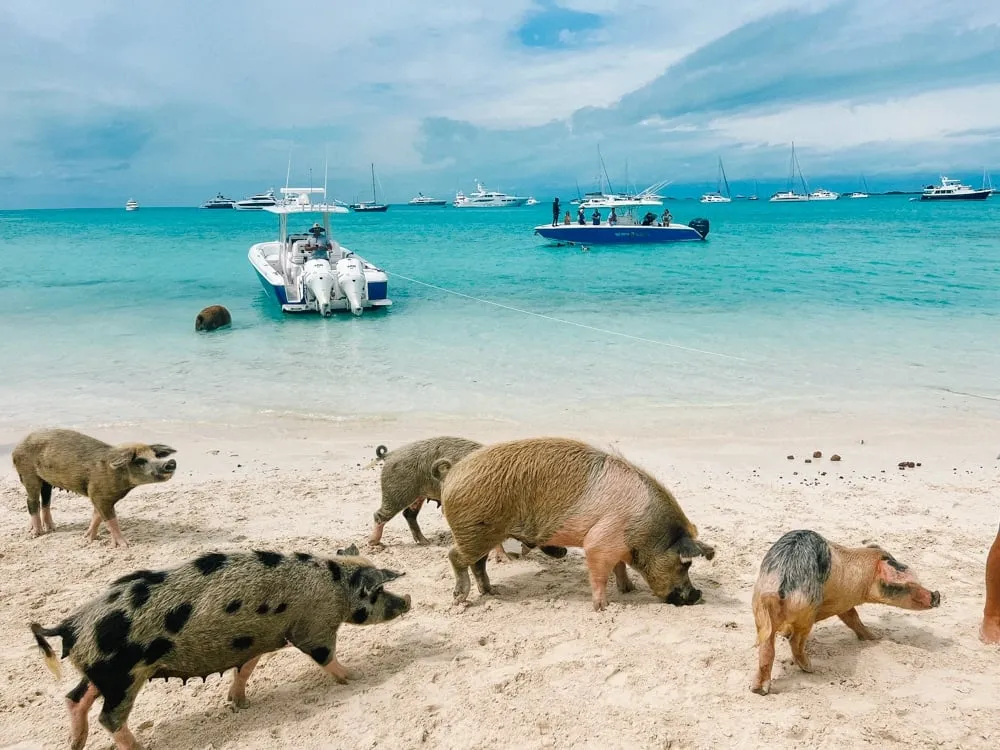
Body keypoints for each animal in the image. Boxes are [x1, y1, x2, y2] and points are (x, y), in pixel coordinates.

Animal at [12, 429, 177, 548]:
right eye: (140, 461)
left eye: (155, 456)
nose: (171, 462)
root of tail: (17, 446)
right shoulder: (98, 494)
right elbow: (110, 520)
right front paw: (126, 545)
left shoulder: (98, 496)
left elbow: (97, 516)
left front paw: (88, 538)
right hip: (28, 474)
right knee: (31, 501)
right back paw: (37, 533)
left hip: (46, 482)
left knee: (45, 501)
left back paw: (51, 528)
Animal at [30, 549, 411, 750]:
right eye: (378, 591)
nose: (408, 600)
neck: (335, 587)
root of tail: (71, 625)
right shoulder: (313, 629)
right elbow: (324, 655)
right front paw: (356, 676)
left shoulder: (258, 639)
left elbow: (247, 667)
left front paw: (239, 704)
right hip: (125, 674)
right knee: (108, 717)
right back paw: (139, 747)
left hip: (104, 673)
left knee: (75, 697)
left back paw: (75, 743)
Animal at [438, 437, 715, 611]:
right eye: (684, 564)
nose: (697, 595)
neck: (645, 532)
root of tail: (452, 476)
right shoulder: (600, 541)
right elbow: (600, 572)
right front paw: (603, 608)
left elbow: (619, 567)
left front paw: (629, 589)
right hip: (475, 530)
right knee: (455, 556)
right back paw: (460, 598)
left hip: (483, 533)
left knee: (478, 563)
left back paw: (492, 592)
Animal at [750, 529, 941, 695]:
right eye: (907, 584)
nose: (937, 595)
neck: (864, 579)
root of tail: (781, 581)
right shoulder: (843, 602)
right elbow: (853, 618)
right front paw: (876, 638)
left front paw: (874, 637)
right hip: (807, 613)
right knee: (795, 641)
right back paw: (810, 667)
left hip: (759, 610)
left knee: (767, 647)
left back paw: (759, 689)